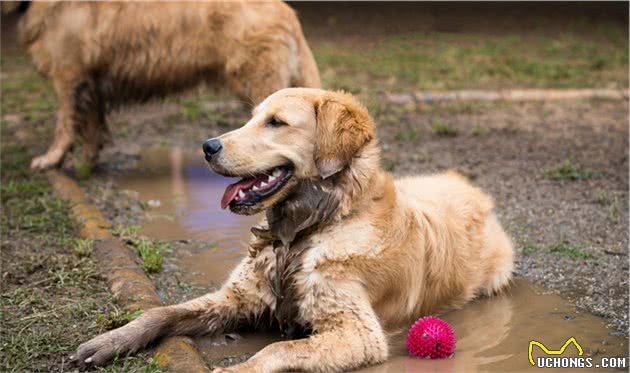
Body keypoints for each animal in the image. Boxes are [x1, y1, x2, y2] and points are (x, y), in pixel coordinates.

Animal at [19, 1, 320, 169]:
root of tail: (288, 12)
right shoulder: (90, 80)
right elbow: (92, 124)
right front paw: (88, 162)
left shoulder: (68, 75)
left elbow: (64, 122)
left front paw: (51, 159)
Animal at [74, 88, 512, 370]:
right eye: (252, 118)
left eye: (276, 123)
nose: (208, 146)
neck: (306, 231)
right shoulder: (235, 298)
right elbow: (160, 312)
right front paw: (109, 342)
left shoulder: (359, 332)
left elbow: (275, 351)